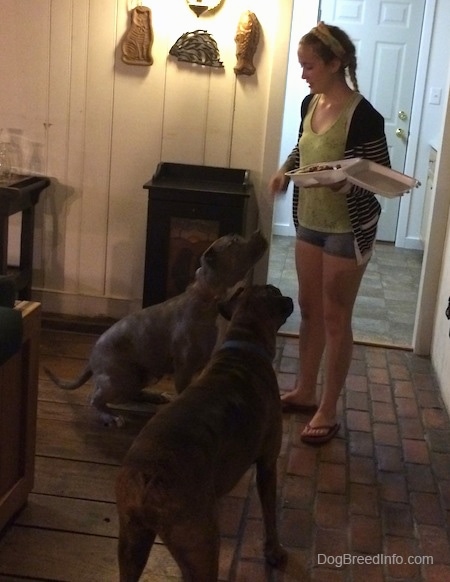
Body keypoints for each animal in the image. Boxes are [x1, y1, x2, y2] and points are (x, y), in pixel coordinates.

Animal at [43, 233, 266, 428]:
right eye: (234, 242)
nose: (259, 233)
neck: (211, 296)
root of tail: (91, 359)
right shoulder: (184, 368)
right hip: (121, 377)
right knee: (95, 398)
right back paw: (110, 417)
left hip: (145, 375)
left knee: (133, 393)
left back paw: (155, 396)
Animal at [114, 286, 294, 582]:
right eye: (277, 292)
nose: (290, 299)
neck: (243, 343)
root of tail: (149, 476)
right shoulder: (268, 464)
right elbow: (270, 514)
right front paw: (274, 550)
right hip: (202, 545)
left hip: (132, 543)